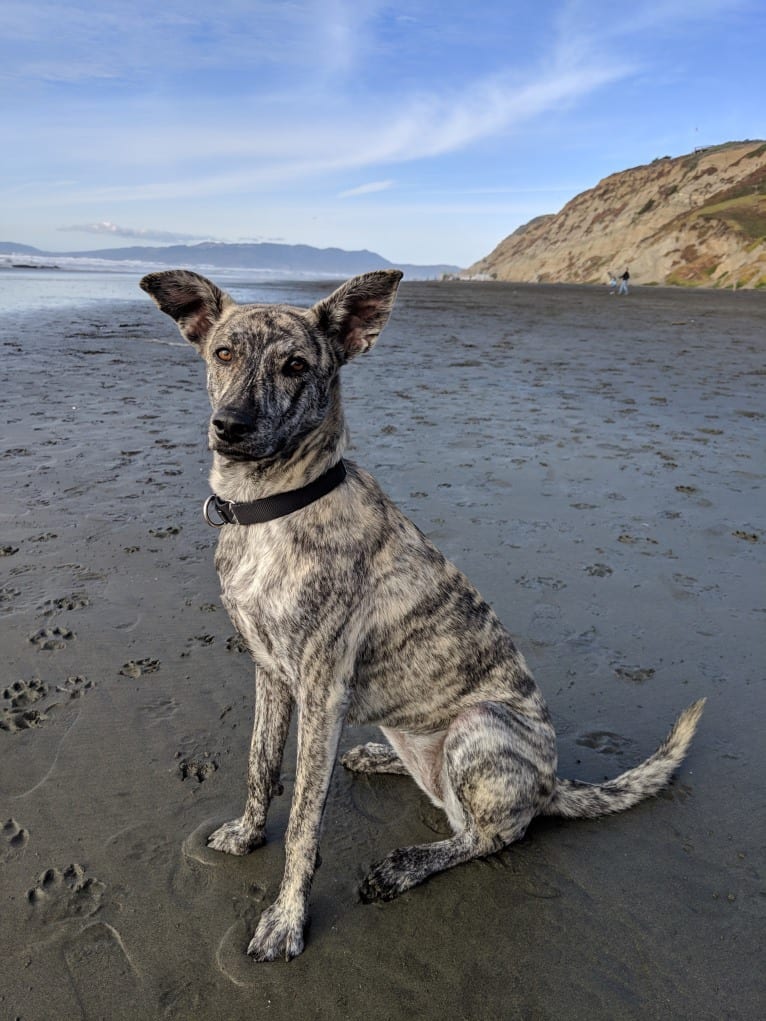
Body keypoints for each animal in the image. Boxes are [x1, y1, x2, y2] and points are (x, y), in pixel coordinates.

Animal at [139, 269, 706, 955]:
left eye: (296, 366)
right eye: (222, 353)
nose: (230, 426)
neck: (274, 506)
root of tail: (553, 783)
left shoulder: (321, 692)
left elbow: (303, 822)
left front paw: (286, 919)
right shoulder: (271, 674)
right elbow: (259, 765)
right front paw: (249, 835)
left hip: (478, 725)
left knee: (489, 836)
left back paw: (407, 865)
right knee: (443, 799)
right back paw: (379, 758)